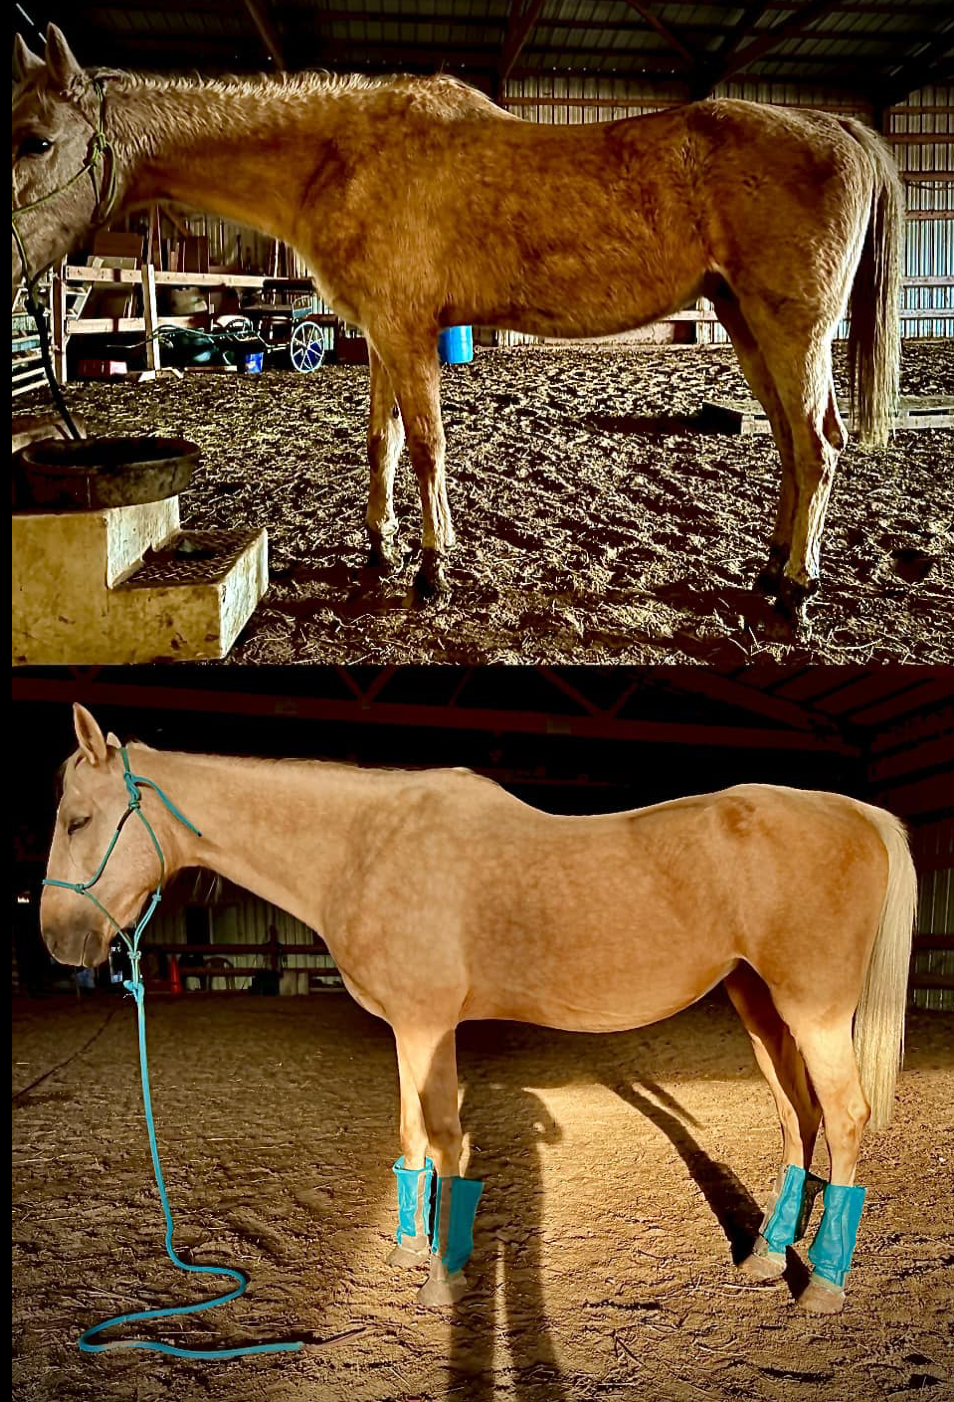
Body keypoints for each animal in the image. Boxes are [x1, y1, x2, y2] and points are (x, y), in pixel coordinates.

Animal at [13, 28, 903, 636]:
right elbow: (381, 443)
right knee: (789, 444)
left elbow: (427, 446)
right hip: (747, 324)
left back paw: (796, 592)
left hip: (791, 331)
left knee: (818, 445)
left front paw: (432, 569)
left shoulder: (408, 336)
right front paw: (381, 548)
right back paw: (770, 573)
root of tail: (840, 128)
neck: (342, 156)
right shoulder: (379, 335)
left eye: (36, 139)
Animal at [40, 704, 916, 1314]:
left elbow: (443, 1136)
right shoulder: (407, 1028)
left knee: (844, 1117)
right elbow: (408, 1134)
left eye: (79, 819)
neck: (368, 844)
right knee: (796, 1116)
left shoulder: (431, 1027)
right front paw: (404, 1254)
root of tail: (857, 813)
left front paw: (440, 1279)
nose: (57, 939)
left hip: (813, 1010)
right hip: (761, 1004)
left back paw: (824, 1286)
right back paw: (767, 1258)